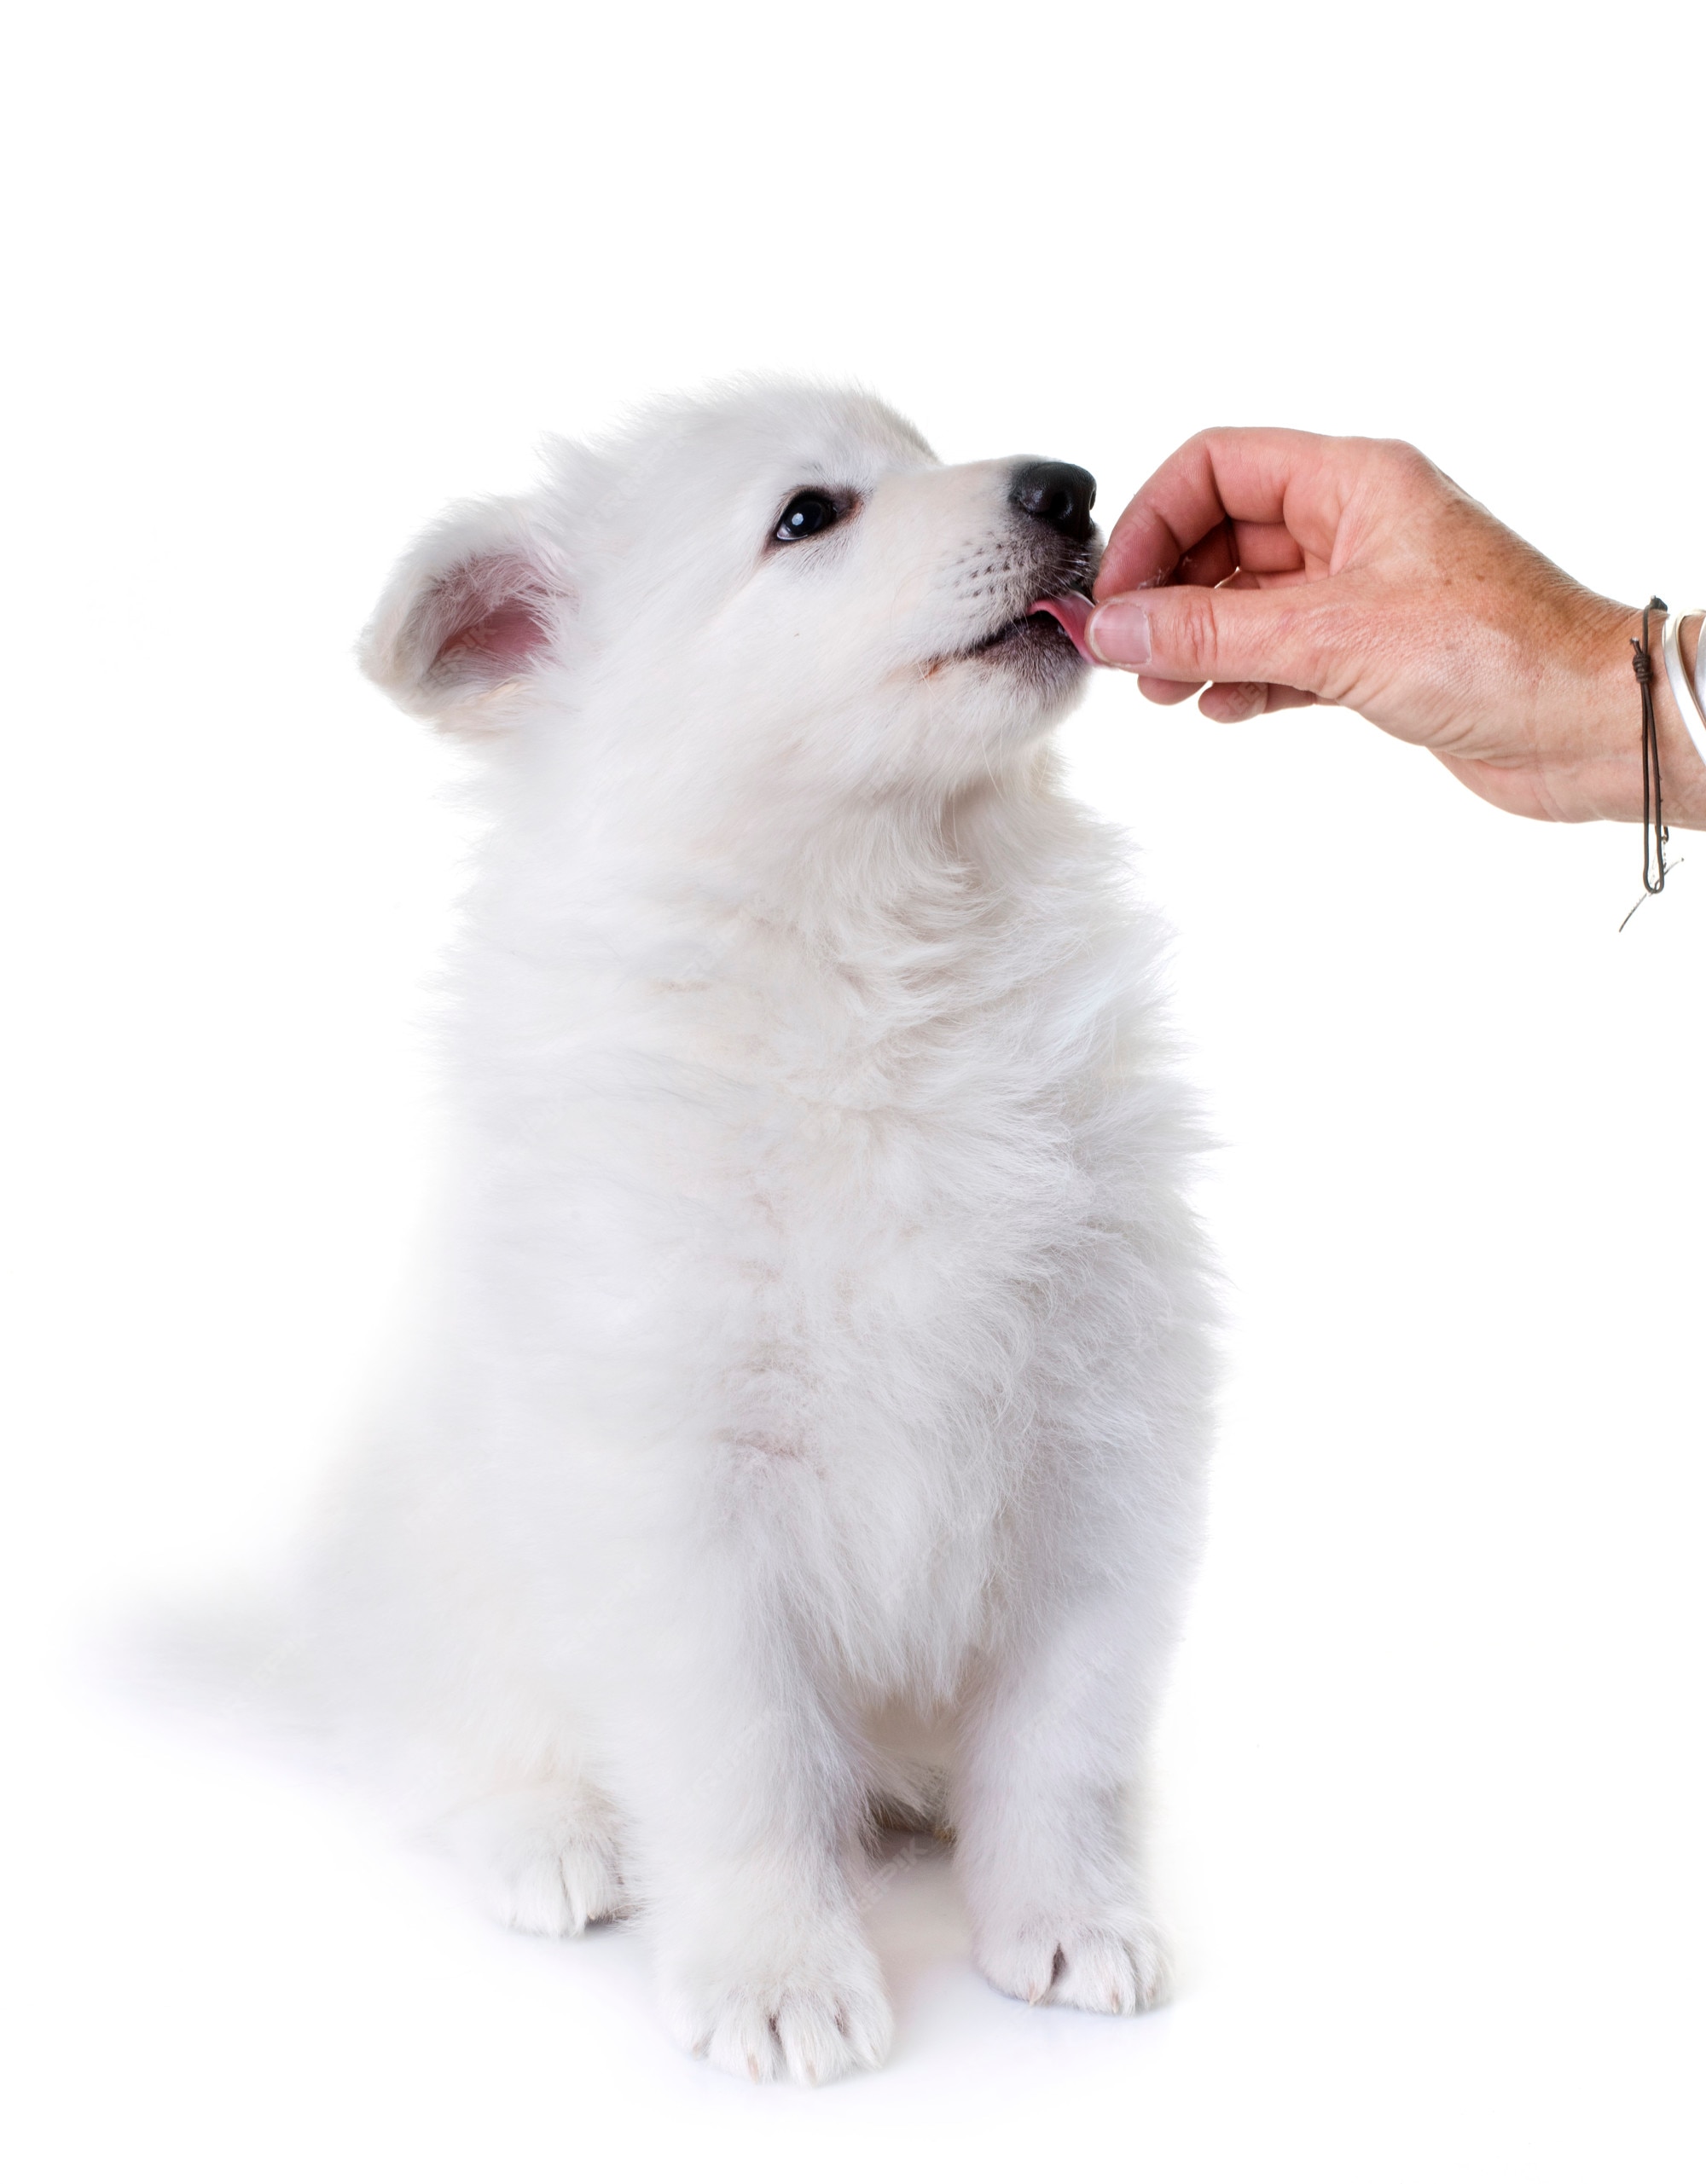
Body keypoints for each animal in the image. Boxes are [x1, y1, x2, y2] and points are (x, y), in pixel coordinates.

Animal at [310, 384, 1214, 2088]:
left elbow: (1058, 1735)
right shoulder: (679, 1495)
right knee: (460, 1738)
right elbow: (745, 1771)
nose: (1068, 488)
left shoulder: (1099, 1440)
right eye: (809, 516)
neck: (879, 943)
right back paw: (553, 1839)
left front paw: (1065, 1918)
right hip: (455, 1564)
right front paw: (778, 1976)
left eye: (919, 455)